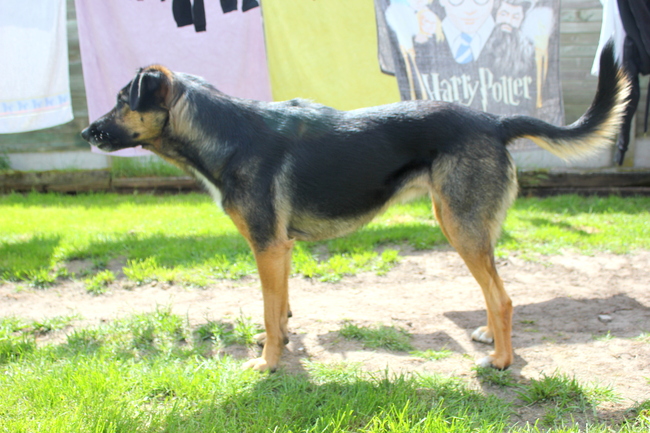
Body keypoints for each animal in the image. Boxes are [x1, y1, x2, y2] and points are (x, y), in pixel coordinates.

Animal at [82, 42, 629, 372]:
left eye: (121, 100)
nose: (86, 133)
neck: (224, 134)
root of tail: (494, 121)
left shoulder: (267, 247)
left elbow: (268, 313)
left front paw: (269, 364)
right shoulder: (280, 250)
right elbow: (280, 309)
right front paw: (284, 347)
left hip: (460, 227)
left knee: (504, 297)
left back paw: (500, 361)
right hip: (467, 226)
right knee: (496, 292)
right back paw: (489, 339)